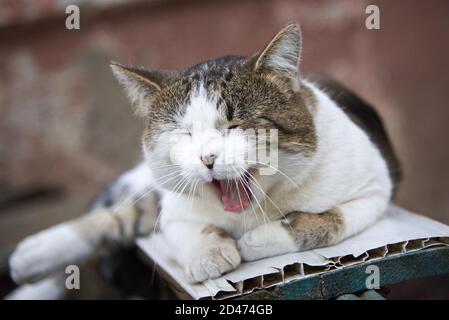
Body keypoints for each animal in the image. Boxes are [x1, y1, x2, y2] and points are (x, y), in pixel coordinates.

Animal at [7, 23, 400, 298]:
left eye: (236, 125)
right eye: (184, 134)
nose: (207, 157)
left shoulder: (375, 189)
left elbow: (331, 220)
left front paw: (261, 239)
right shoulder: (174, 210)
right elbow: (189, 229)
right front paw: (208, 252)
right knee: (125, 212)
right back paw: (33, 259)